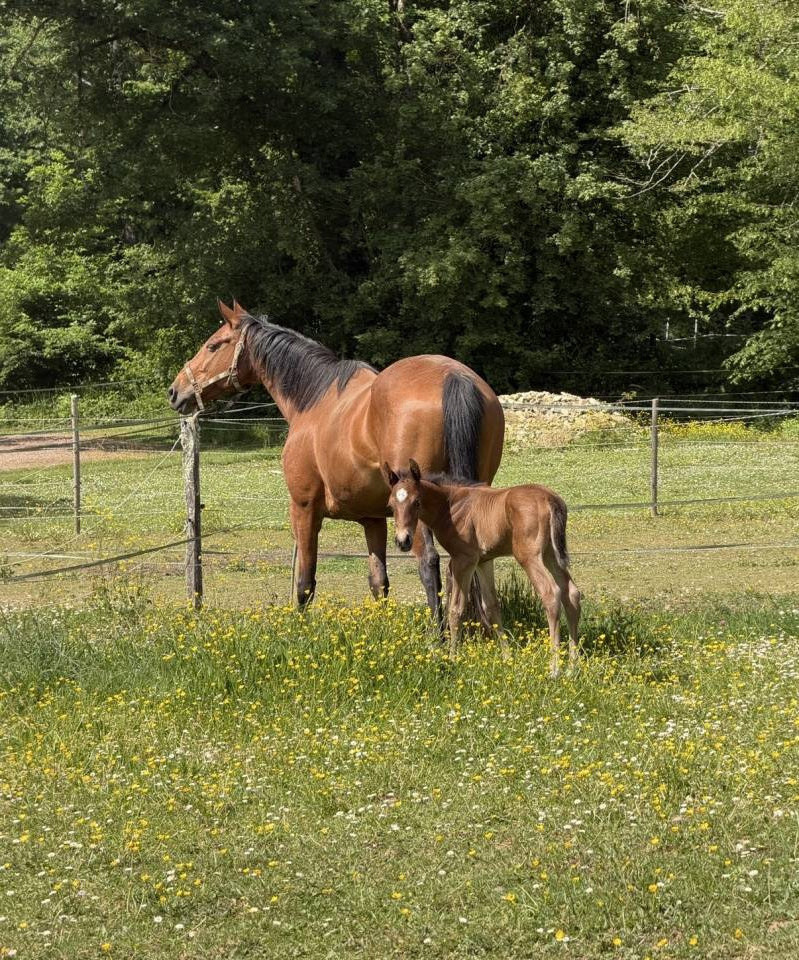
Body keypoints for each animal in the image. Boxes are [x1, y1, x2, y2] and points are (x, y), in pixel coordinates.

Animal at [168, 300, 505, 621]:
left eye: (214, 345)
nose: (175, 391)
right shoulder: (374, 519)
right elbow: (379, 583)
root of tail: (453, 376)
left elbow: (305, 582)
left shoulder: (304, 509)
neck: (312, 400)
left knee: (429, 564)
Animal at [383, 459, 581, 675]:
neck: (451, 505)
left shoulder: (464, 559)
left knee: (550, 593)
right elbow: (491, 606)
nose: (403, 541)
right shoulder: (483, 561)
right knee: (571, 593)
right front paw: (507, 658)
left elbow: (456, 609)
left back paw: (554, 669)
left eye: (417, 502)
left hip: (529, 556)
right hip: (550, 554)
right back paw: (572, 667)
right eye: (391, 505)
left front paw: (452, 659)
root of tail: (550, 498)